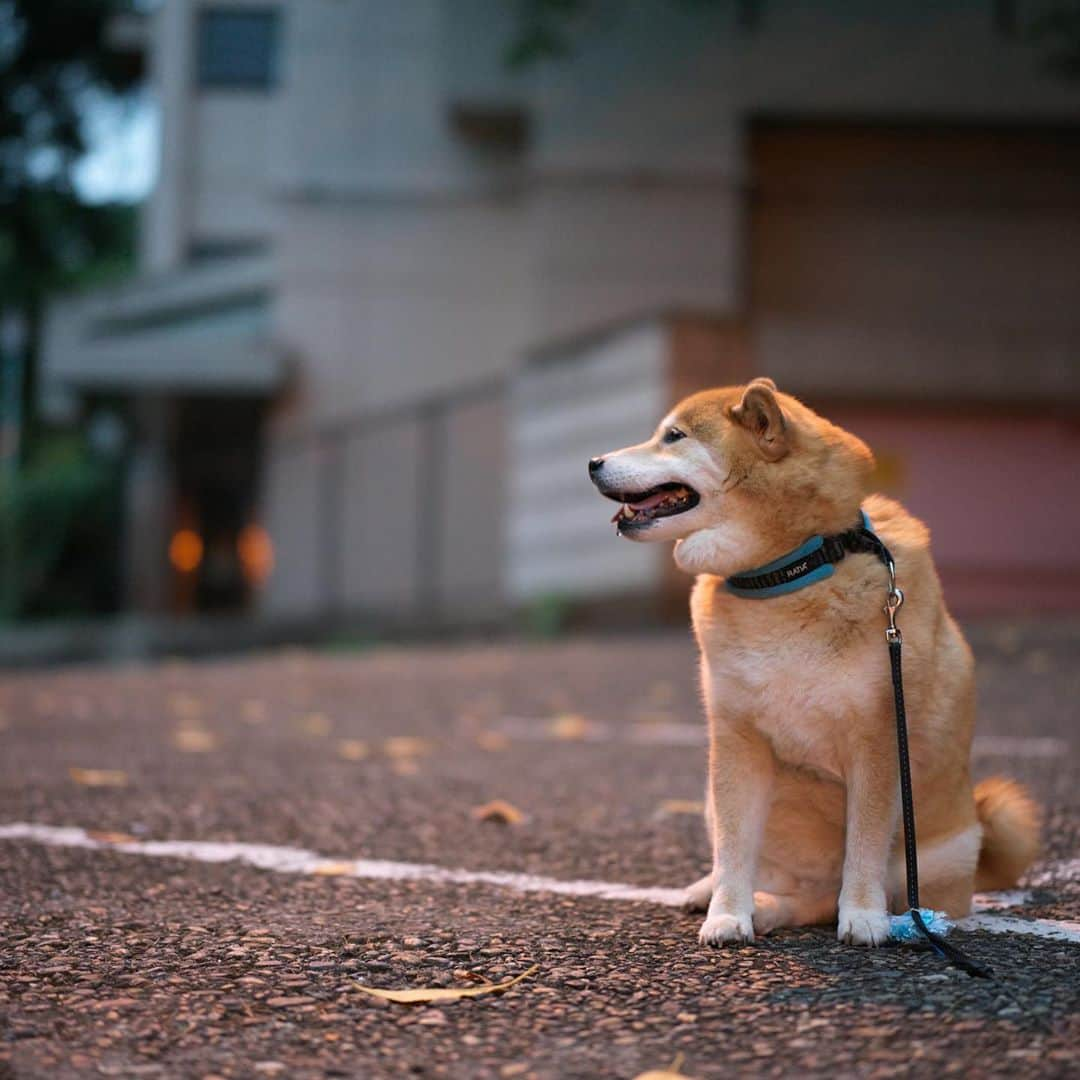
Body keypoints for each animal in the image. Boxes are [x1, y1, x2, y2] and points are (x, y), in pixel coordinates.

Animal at [591, 378, 1036, 946]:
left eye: (673, 436)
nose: (593, 462)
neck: (788, 573)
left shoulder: (877, 740)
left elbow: (864, 846)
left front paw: (864, 916)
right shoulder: (736, 738)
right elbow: (733, 848)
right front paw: (726, 914)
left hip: (929, 854)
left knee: (823, 898)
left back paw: (785, 908)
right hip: (720, 797)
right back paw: (718, 894)